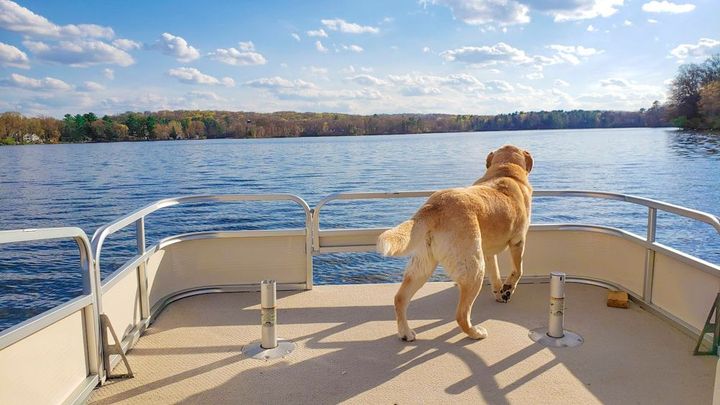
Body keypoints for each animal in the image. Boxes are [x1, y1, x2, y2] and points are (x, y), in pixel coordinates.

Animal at [376, 144, 536, 340]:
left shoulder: (489, 253)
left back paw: (405, 332)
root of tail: (434, 205)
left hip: (422, 267)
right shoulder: (518, 242)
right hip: (474, 269)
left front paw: (500, 294)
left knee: (400, 298)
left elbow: (496, 276)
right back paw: (476, 333)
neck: (506, 170)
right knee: (461, 315)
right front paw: (508, 289)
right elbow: (518, 270)